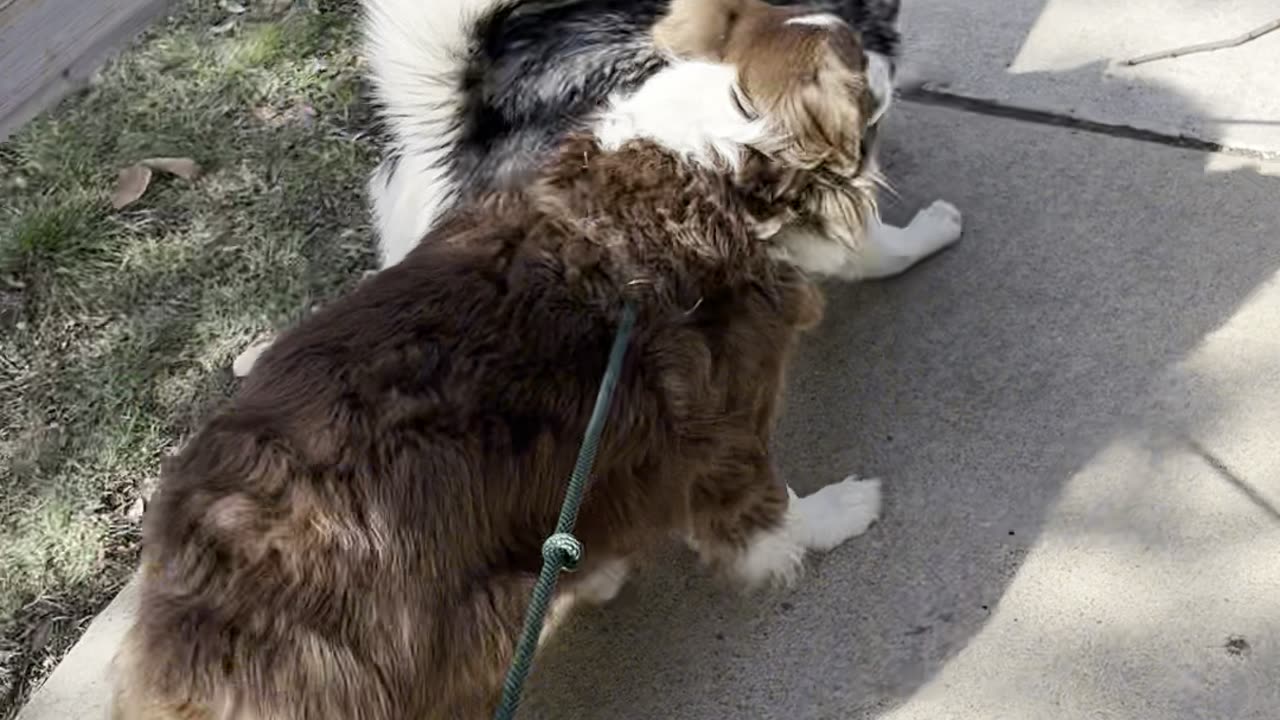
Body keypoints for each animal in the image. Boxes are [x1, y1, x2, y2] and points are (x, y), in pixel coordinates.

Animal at [112, 2, 890, 712]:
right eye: (858, 59)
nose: (886, 56)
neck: (711, 157)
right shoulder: (719, 418)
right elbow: (767, 512)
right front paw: (840, 513)